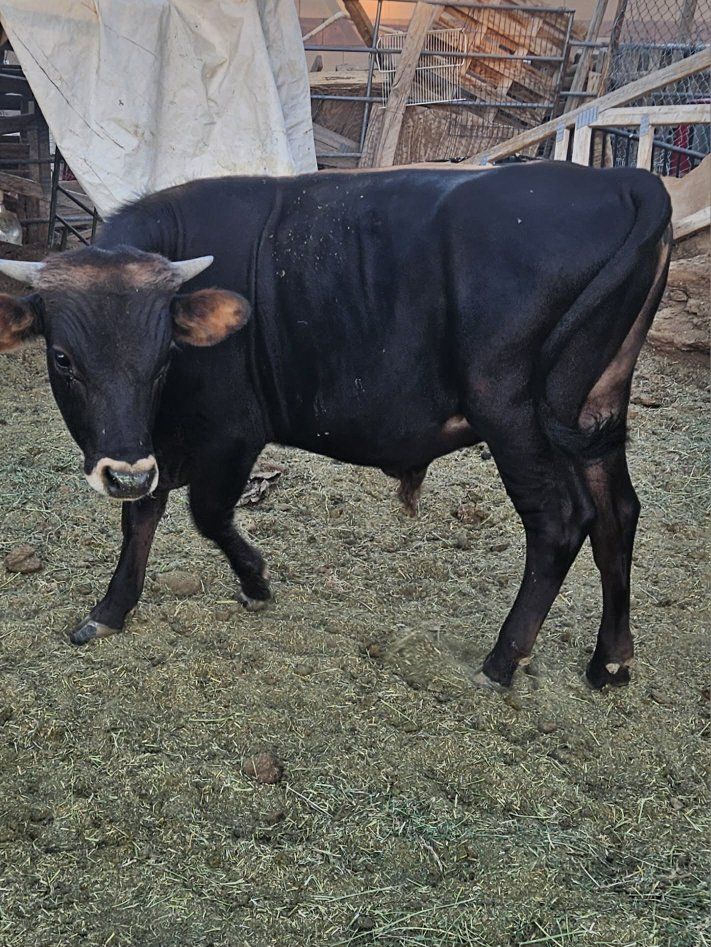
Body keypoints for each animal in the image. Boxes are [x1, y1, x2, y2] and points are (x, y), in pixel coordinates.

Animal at [0, 162, 672, 690]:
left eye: (164, 354)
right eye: (62, 358)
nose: (120, 472)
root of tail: (626, 179)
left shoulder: (231, 434)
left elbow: (208, 514)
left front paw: (257, 582)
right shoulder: (149, 446)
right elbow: (141, 515)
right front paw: (111, 609)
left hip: (514, 414)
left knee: (560, 522)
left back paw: (503, 661)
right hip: (593, 406)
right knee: (617, 515)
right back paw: (611, 662)